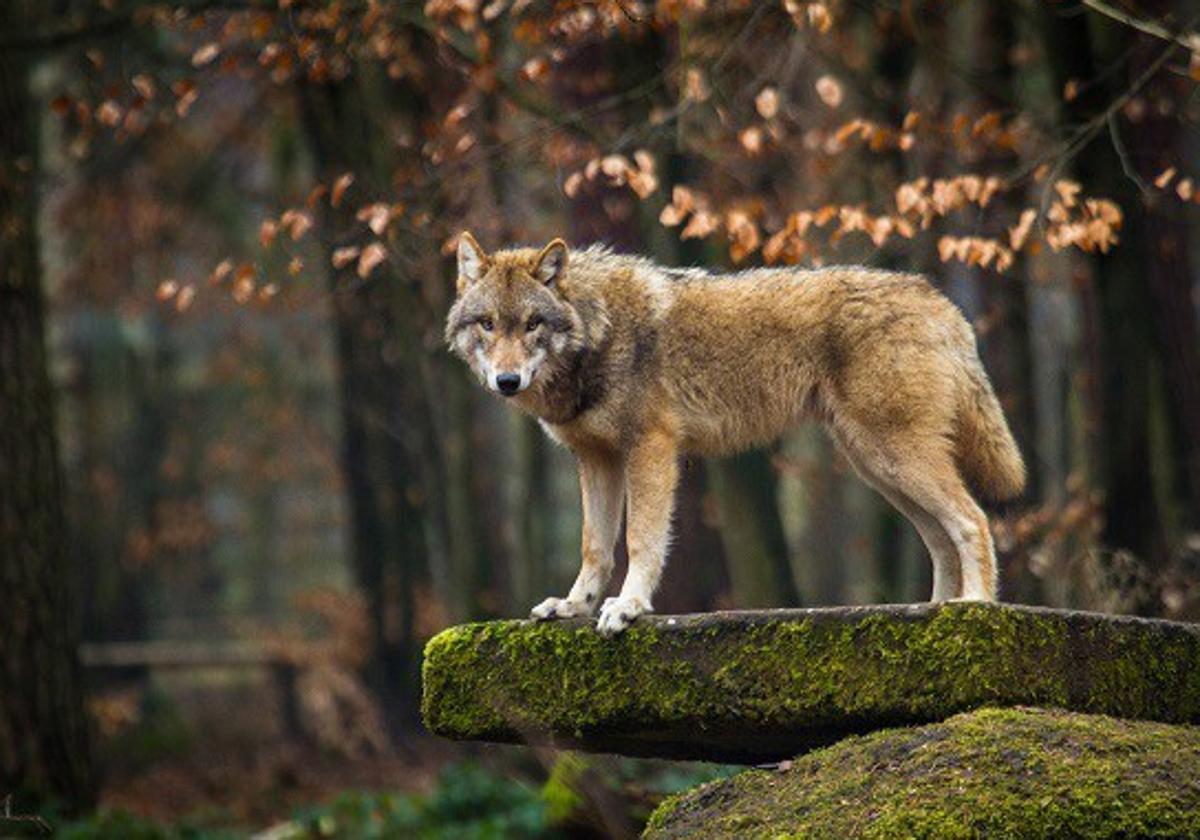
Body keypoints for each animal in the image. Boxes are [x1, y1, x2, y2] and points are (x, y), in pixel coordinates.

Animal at [446, 232, 1027, 633]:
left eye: (532, 324)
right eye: (488, 324)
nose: (506, 381)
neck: (599, 329)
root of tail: (939, 300)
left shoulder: (650, 449)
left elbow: (640, 540)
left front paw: (628, 606)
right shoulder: (596, 460)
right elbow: (595, 545)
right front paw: (573, 606)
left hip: (893, 458)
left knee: (972, 521)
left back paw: (976, 607)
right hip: (877, 467)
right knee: (941, 537)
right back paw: (935, 610)